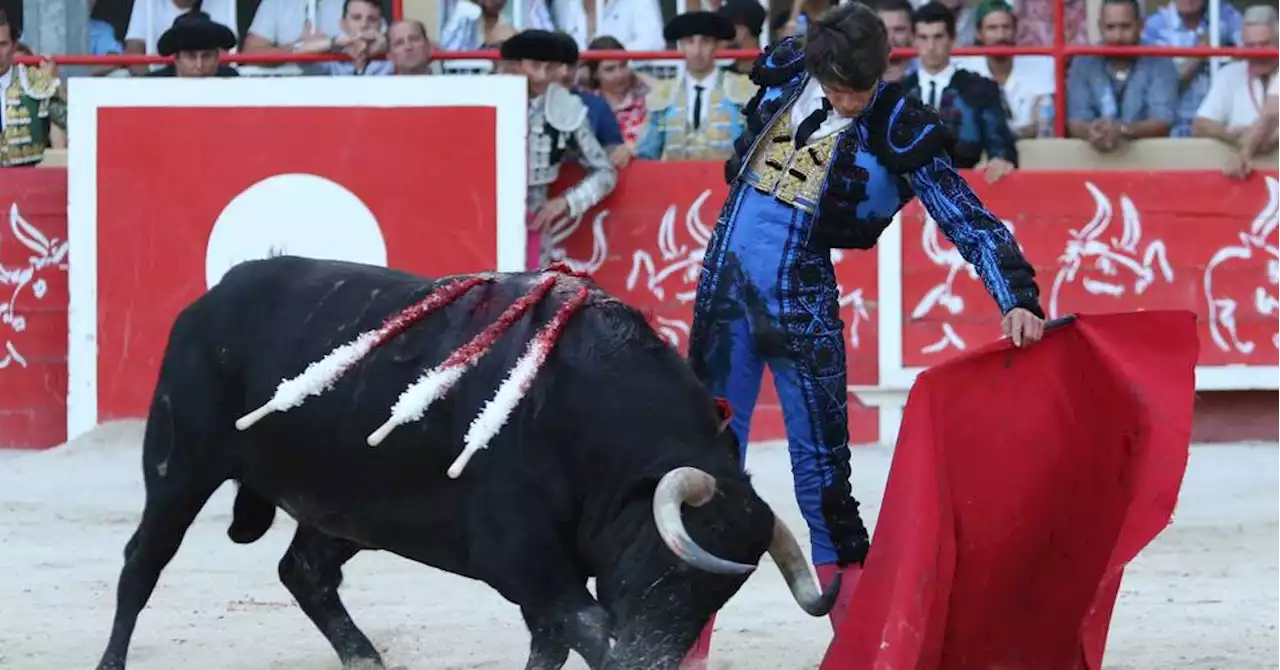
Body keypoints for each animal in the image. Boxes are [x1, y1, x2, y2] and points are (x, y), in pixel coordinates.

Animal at [97, 258, 839, 670]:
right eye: (669, 569)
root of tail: (213, 295)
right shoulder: (524, 558)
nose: (656, 663)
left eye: (717, 598)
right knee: (141, 561)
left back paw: (366, 660)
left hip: (348, 508)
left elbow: (554, 641)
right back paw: (111, 661)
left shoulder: (548, 572)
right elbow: (590, 633)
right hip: (179, 466)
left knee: (303, 570)